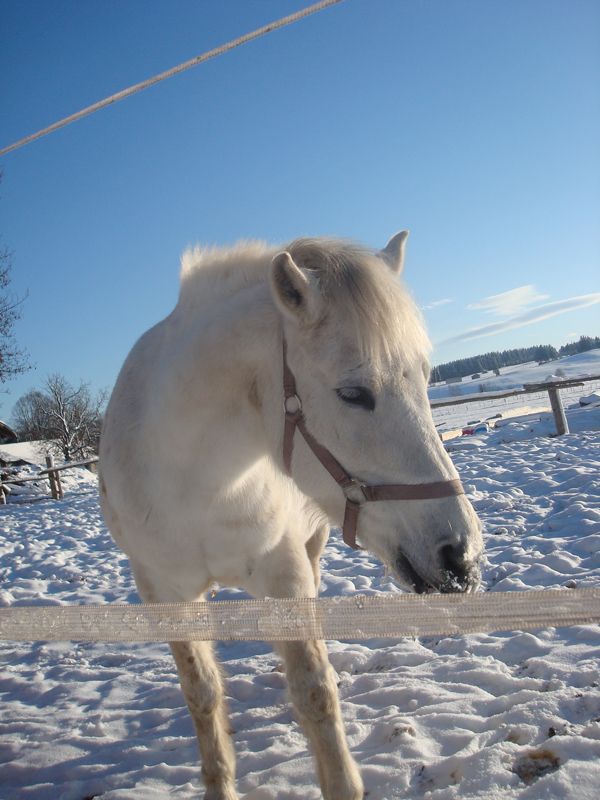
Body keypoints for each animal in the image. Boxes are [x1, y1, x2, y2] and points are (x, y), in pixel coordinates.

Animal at [99, 228, 482, 796]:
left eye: (424, 377)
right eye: (353, 393)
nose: (461, 553)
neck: (194, 481)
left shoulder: (285, 575)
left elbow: (315, 694)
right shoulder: (163, 593)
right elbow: (202, 694)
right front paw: (220, 783)